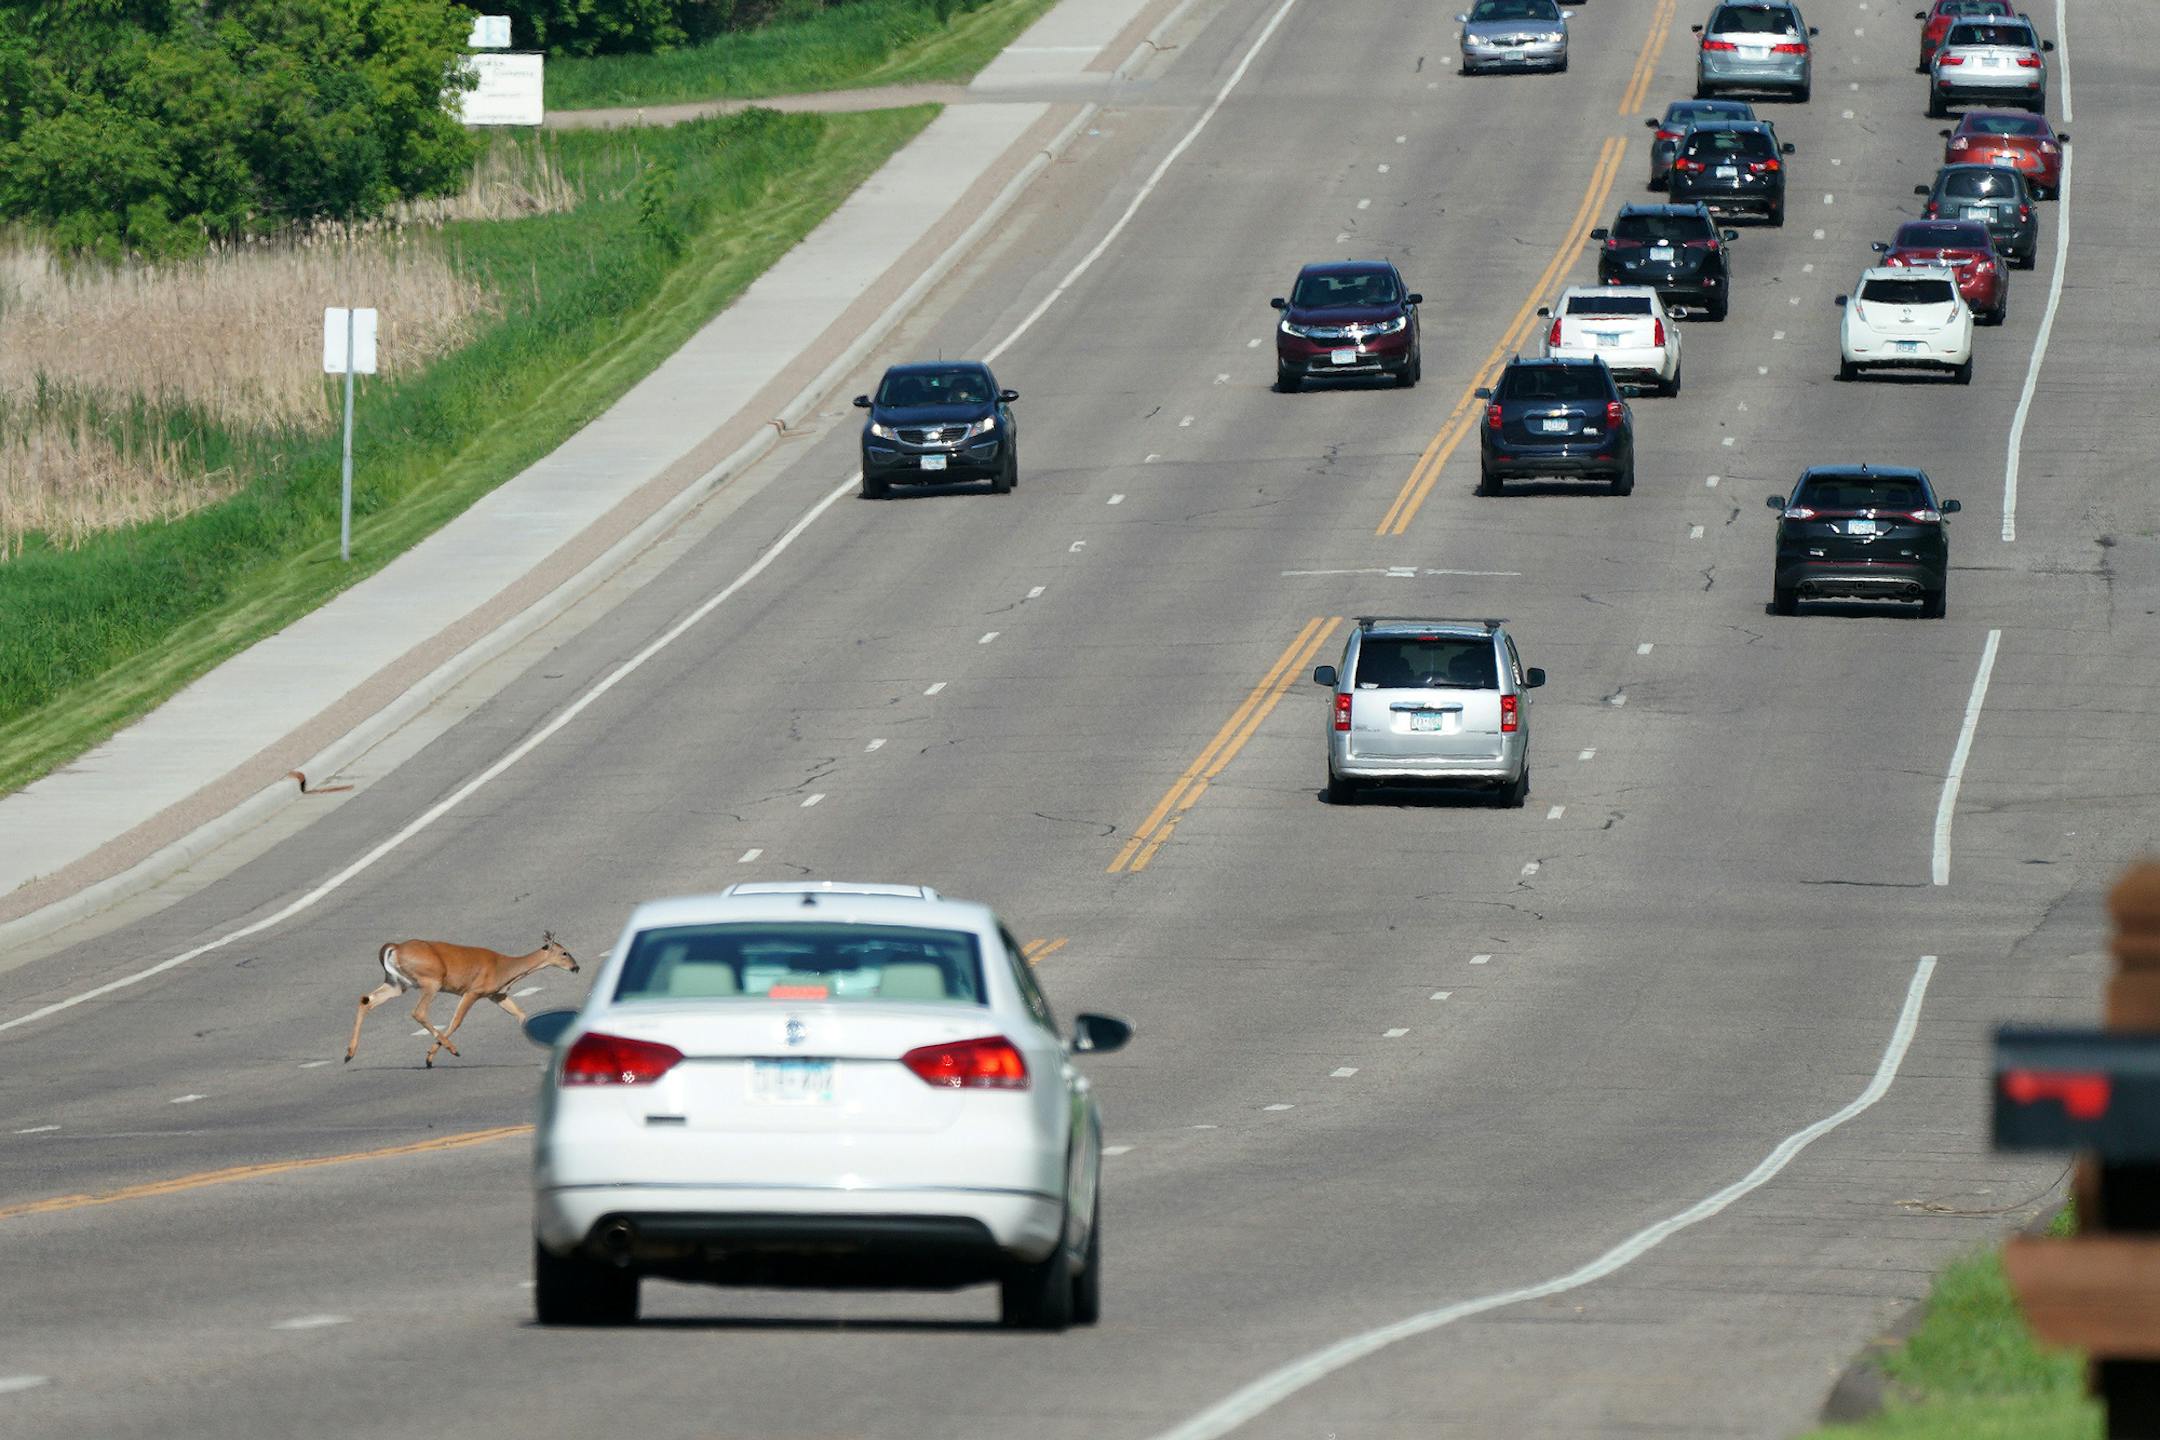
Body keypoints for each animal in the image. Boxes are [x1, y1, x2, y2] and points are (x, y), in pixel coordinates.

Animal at [345, 932, 579, 1067]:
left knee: (366, 1000)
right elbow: (456, 1021)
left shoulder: (497, 995)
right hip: (431, 980)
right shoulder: (473, 991)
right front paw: (430, 1055)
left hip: (397, 983)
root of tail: (396, 947)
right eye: (564, 953)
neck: (505, 969)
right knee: (418, 1012)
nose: (576, 967)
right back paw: (452, 1050)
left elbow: (521, 1015)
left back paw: (349, 1053)